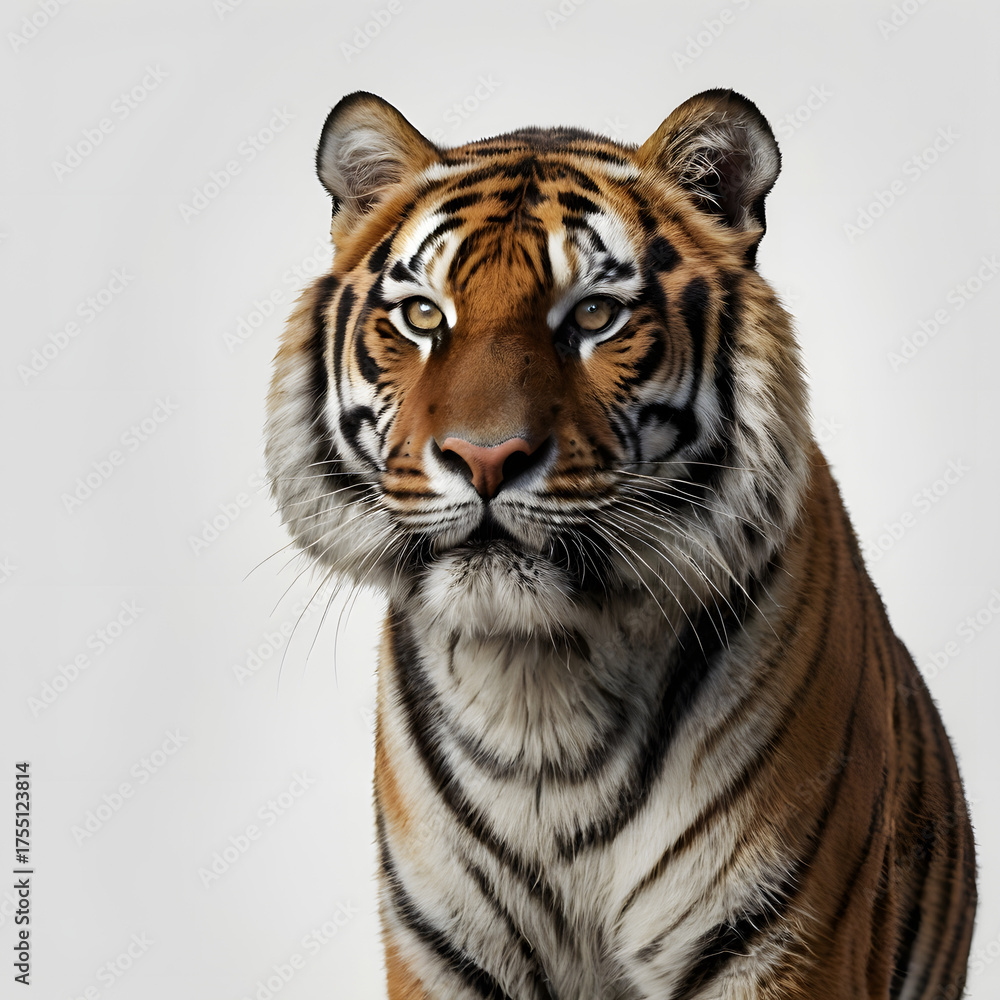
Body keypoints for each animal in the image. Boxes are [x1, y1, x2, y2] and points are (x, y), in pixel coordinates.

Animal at [265, 89, 976, 999]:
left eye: (595, 315)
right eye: (423, 315)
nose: (484, 457)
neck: (537, 689)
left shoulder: (786, 942)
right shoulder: (441, 948)